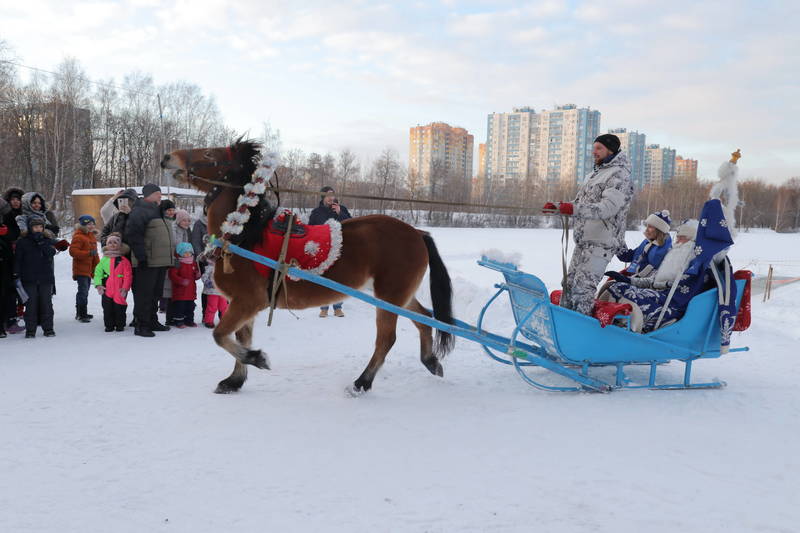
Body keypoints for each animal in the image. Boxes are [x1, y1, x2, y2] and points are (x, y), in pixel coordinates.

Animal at [161, 139, 456, 392]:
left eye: (209, 154)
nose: (167, 157)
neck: (244, 236)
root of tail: (417, 232)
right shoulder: (242, 304)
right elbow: (240, 337)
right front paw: (235, 380)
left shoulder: (247, 301)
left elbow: (221, 336)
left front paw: (258, 359)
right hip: (397, 295)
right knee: (424, 318)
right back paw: (430, 361)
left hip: (389, 296)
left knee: (386, 339)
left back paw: (362, 382)